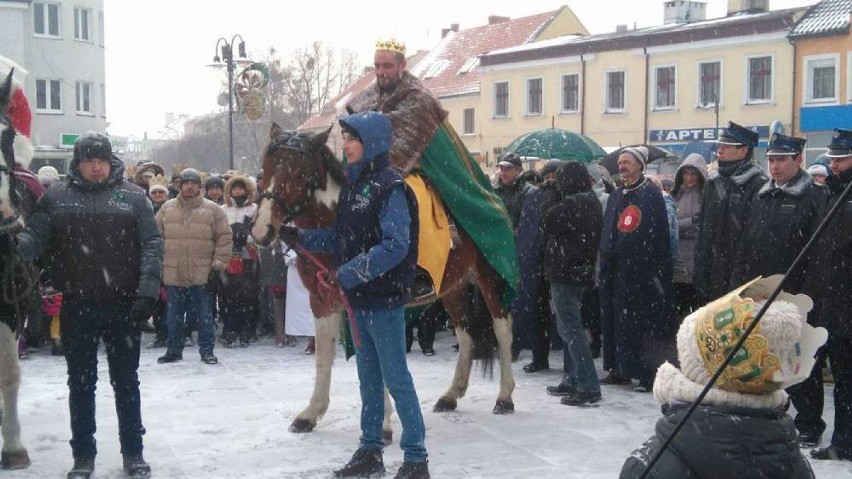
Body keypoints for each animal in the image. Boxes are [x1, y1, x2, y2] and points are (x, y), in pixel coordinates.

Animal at [250, 123, 516, 436]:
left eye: (300, 174)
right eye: (265, 169)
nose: (261, 230)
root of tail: (494, 197)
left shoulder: (373, 304)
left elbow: (380, 358)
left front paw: (382, 424)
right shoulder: (322, 300)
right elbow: (324, 357)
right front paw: (310, 413)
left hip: (490, 277)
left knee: (502, 329)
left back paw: (505, 397)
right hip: (453, 286)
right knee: (466, 335)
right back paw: (452, 395)